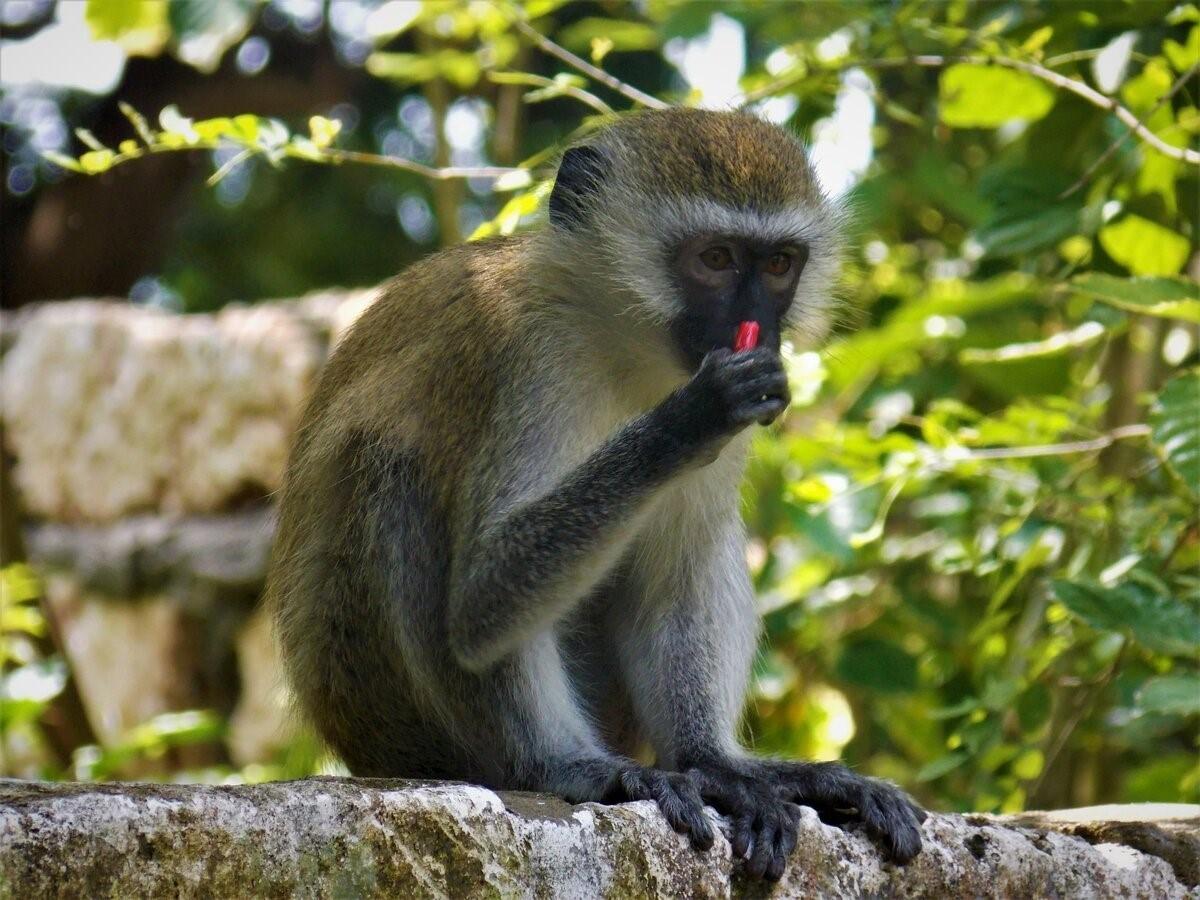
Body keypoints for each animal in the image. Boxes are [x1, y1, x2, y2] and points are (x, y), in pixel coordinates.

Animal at [272, 105, 926, 883]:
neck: (620, 336)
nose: (758, 325)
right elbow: (482, 599)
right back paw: (564, 768)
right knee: (394, 481)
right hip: (383, 710)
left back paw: (717, 768)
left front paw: (716, 765)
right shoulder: (524, 353)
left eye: (777, 265)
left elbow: (672, 582)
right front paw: (687, 421)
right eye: (714, 259)